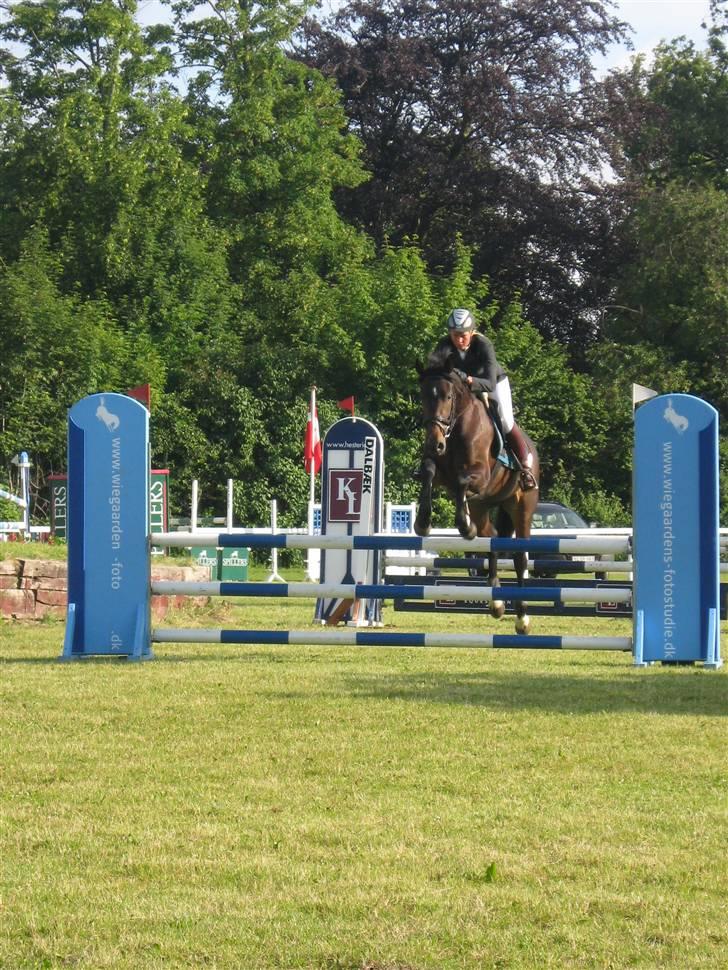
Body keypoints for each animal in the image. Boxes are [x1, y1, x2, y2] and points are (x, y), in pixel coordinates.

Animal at [412, 360, 536, 632]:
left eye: (448, 397)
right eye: (423, 396)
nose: (434, 443)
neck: (455, 429)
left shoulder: (480, 475)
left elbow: (461, 481)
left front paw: (464, 526)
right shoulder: (439, 471)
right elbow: (428, 473)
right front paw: (422, 523)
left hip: (522, 506)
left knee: (520, 558)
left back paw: (522, 618)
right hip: (482, 506)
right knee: (492, 538)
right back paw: (496, 602)